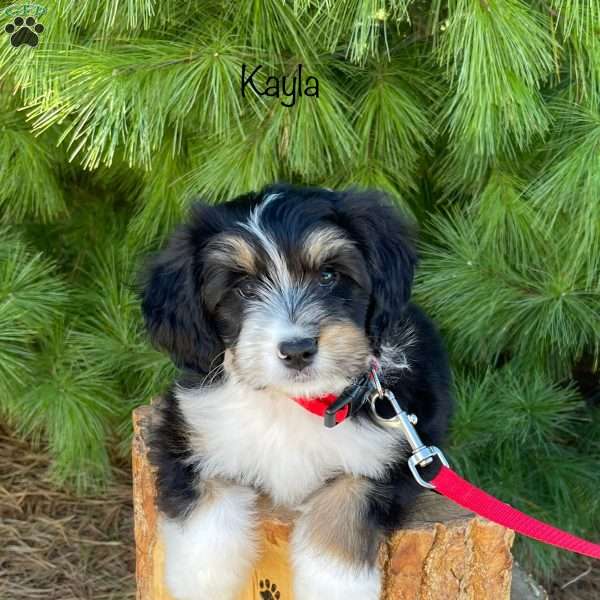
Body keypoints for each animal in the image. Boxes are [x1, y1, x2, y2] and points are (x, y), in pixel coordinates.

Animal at [142, 184, 450, 600]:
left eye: (328, 275)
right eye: (243, 288)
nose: (298, 350)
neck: (293, 401)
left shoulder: (401, 453)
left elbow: (347, 503)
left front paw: (334, 585)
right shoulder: (185, 426)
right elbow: (201, 497)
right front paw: (201, 579)